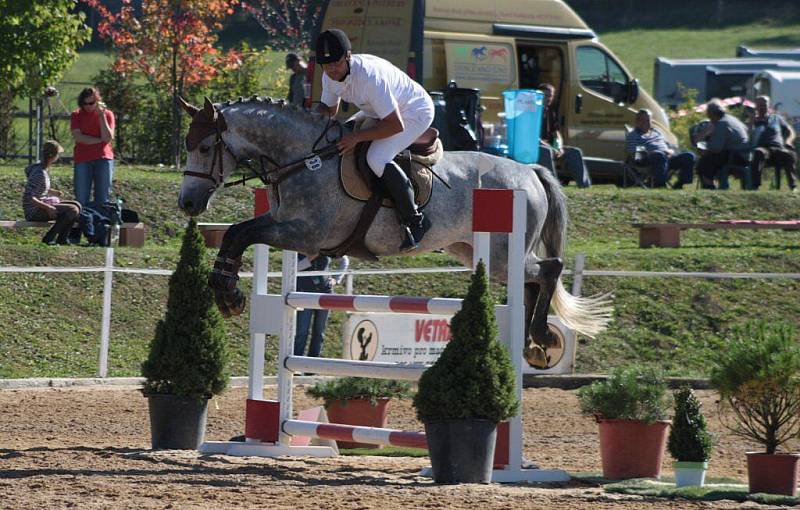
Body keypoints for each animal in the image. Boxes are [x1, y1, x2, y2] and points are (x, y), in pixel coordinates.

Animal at [178, 96, 608, 366]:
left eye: (204, 147)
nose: (187, 204)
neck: (303, 159)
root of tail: (530, 171)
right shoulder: (287, 226)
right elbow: (237, 232)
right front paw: (225, 289)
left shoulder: (306, 234)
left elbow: (240, 233)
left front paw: (229, 295)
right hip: (474, 251)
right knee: (531, 282)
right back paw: (530, 344)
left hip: (503, 254)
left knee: (548, 269)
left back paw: (541, 336)